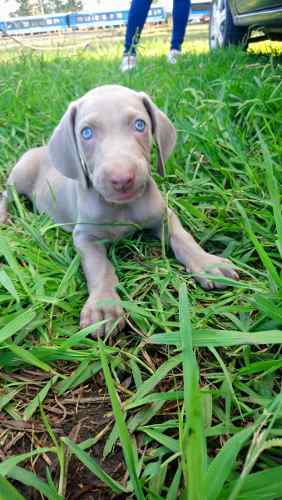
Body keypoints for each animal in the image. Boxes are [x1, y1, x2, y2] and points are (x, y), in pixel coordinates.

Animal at [0, 86, 238, 336]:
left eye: (140, 125)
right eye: (86, 133)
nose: (122, 178)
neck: (122, 207)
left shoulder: (164, 216)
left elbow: (183, 237)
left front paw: (207, 263)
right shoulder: (84, 236)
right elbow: (98, 266)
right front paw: (103, 306)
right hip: (20, 174)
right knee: (6, 193)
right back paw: (4, 216)